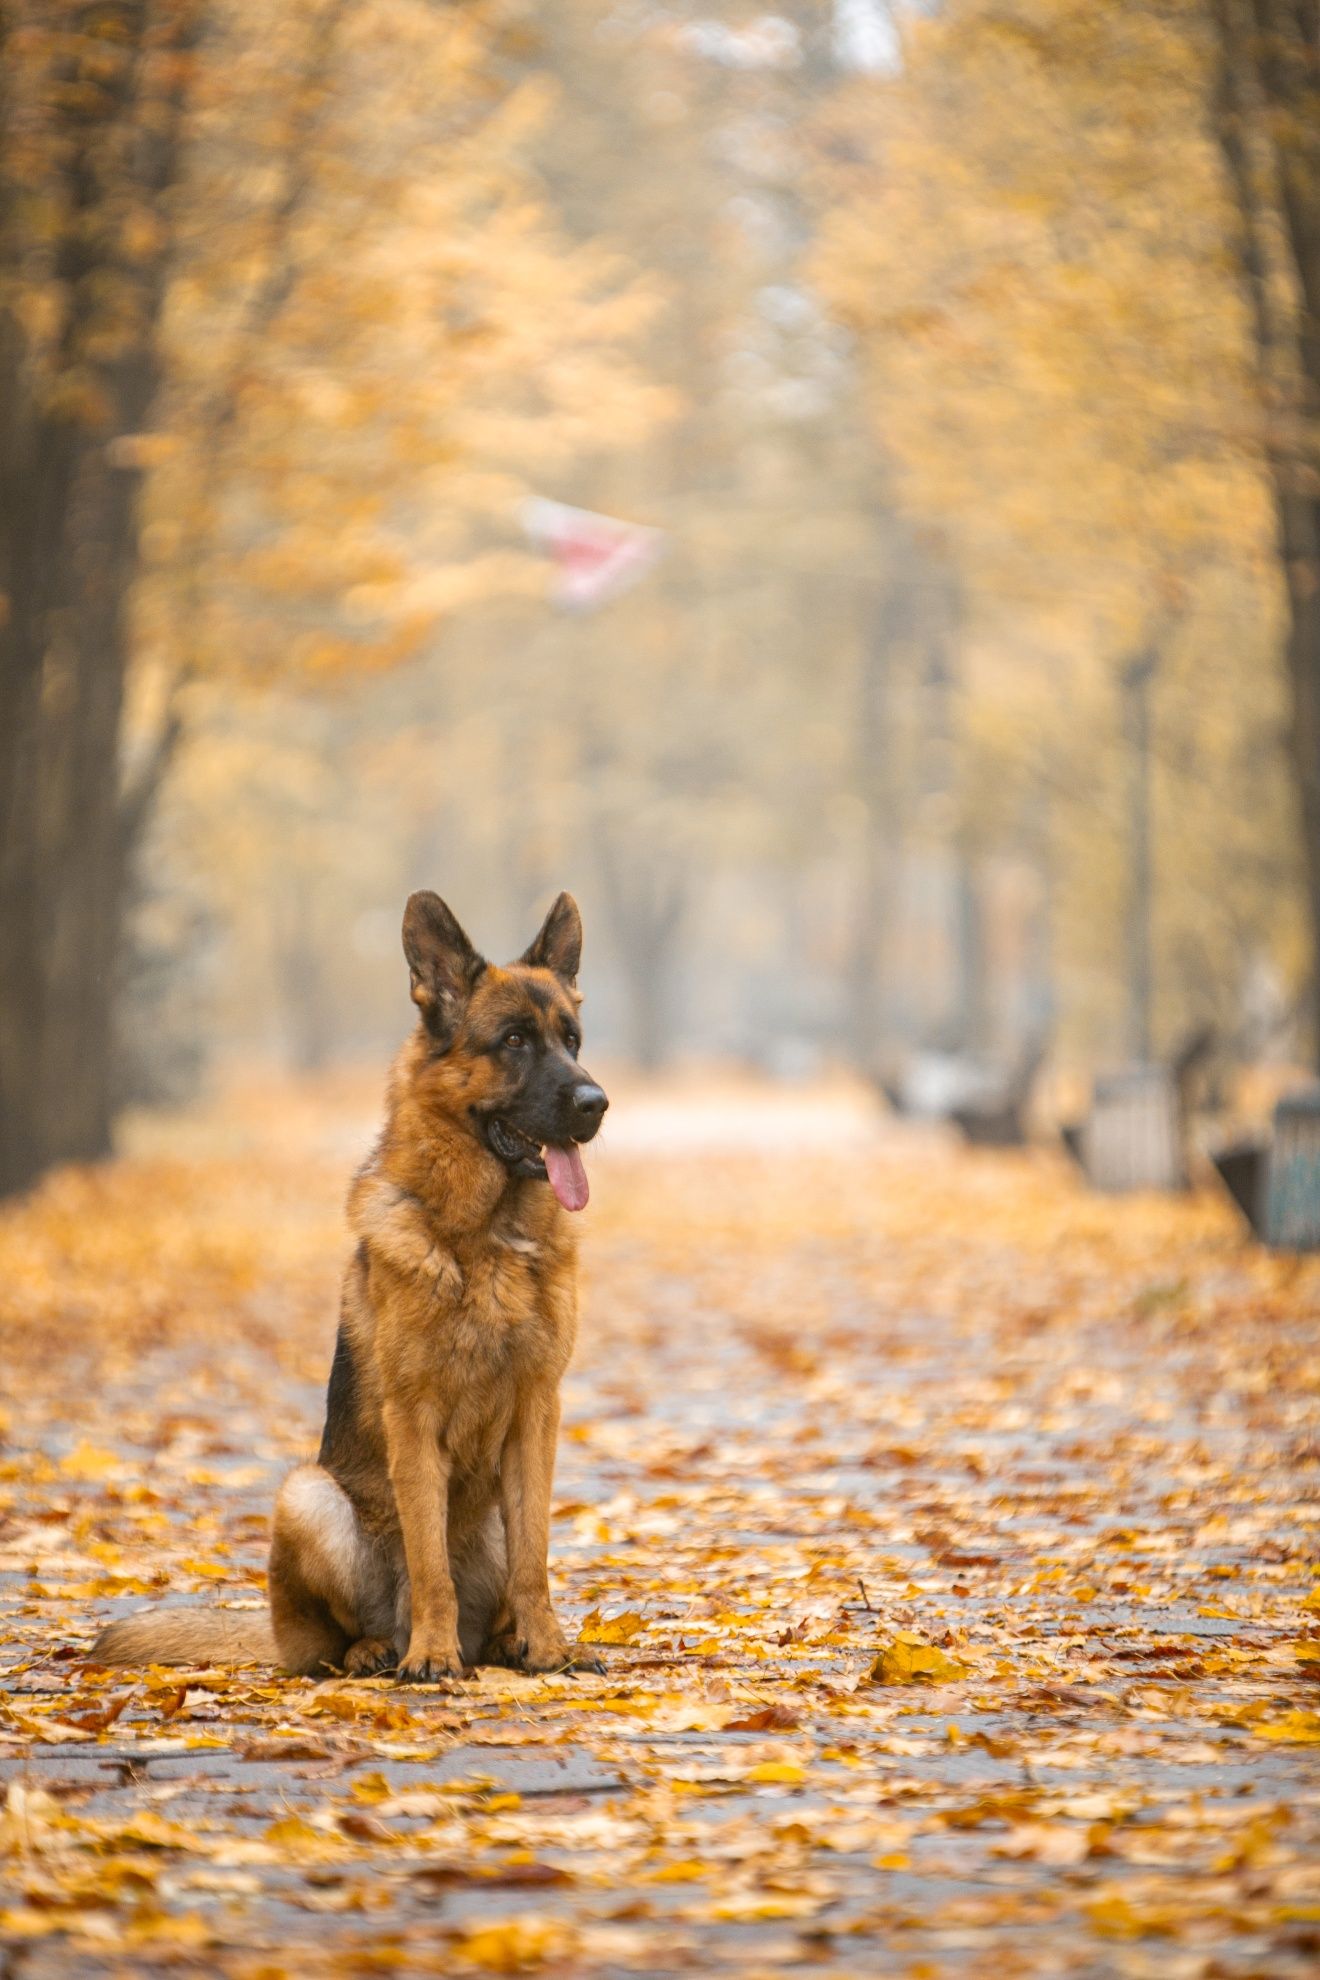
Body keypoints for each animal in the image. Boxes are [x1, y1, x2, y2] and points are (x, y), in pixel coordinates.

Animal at [94, 891, 609, 1679]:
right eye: (515, 1040)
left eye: (572, 1040)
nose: (595, 1103)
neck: (486, 1239)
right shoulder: (413, 1418)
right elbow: (427, 1560)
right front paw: (431, 1655)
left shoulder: (537, 1414)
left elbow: (536, 1557)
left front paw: (548, 1648)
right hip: (306, 1495)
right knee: (326, 1643)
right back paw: (384, 1649)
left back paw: (503, 1642)